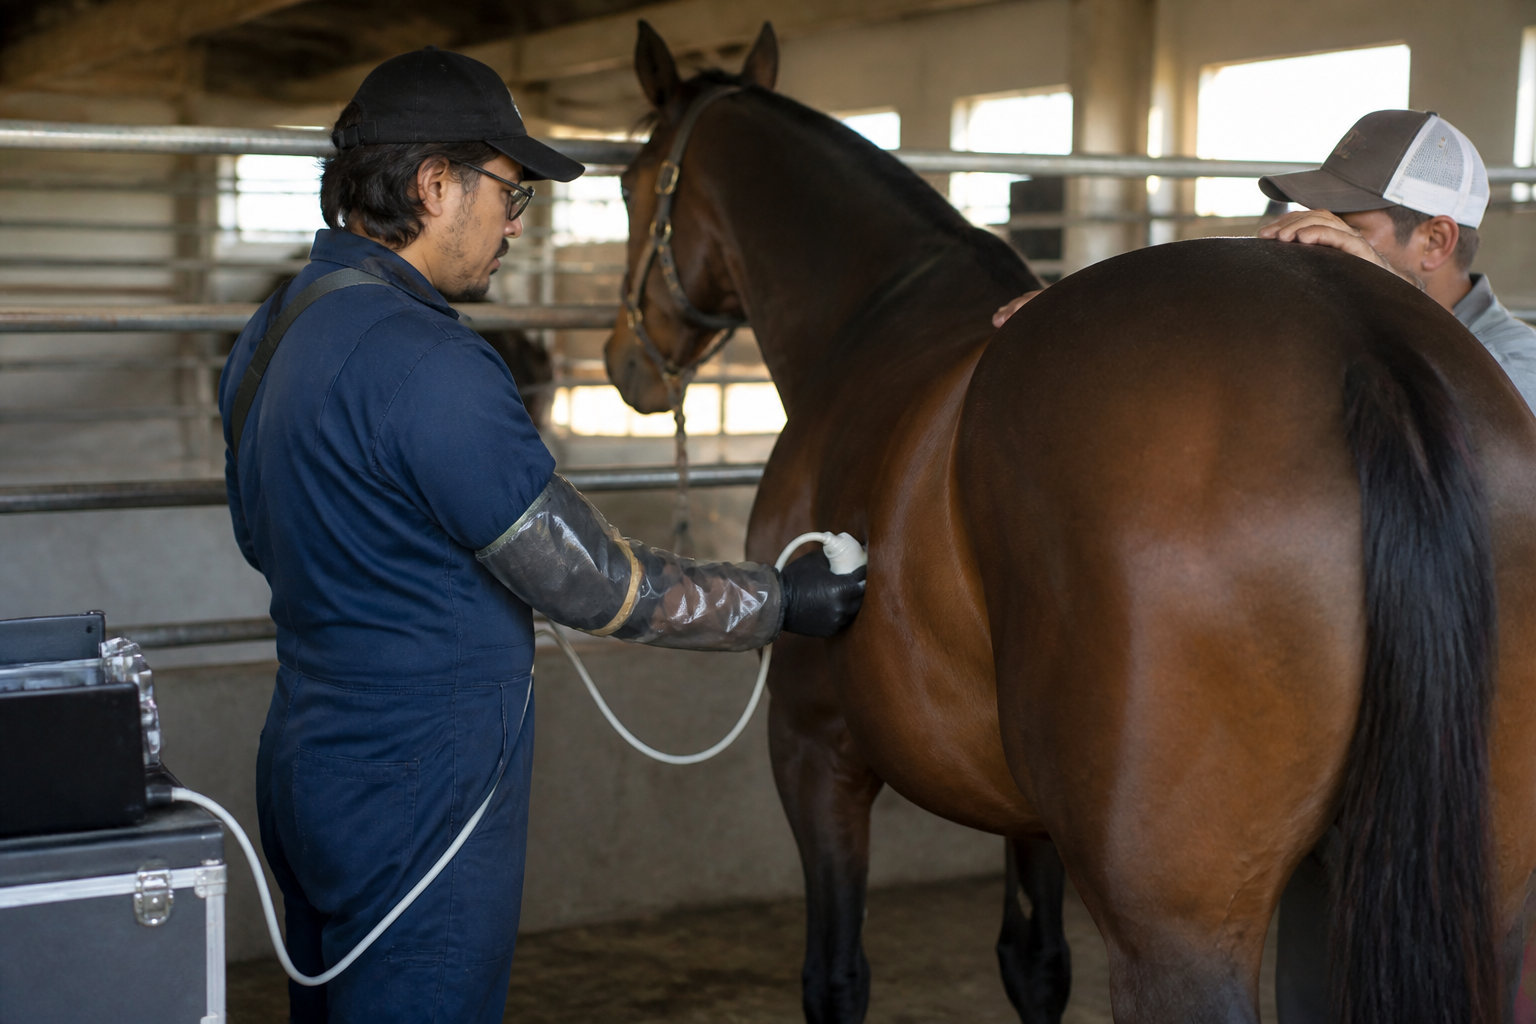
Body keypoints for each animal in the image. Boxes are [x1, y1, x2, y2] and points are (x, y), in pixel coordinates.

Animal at [603, 21, 1536, 1024]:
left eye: (629, 181)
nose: (626, 363)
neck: (877, 315)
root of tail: (1366, 352)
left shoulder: (813, 745)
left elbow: (836, 976)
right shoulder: (1032, 809)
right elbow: (1036, 962)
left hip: (1178, 932)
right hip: (1479, 896)